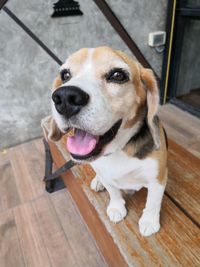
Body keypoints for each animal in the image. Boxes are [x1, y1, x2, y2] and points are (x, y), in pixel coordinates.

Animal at [48, 47, 167, 238]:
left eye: (117, 75)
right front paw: (117, 208)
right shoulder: (107, 175)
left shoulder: (158, 178)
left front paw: (149, 222)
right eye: (65, 75)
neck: (119, 149)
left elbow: (153, 202)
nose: (65, 97)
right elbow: (114, 192)